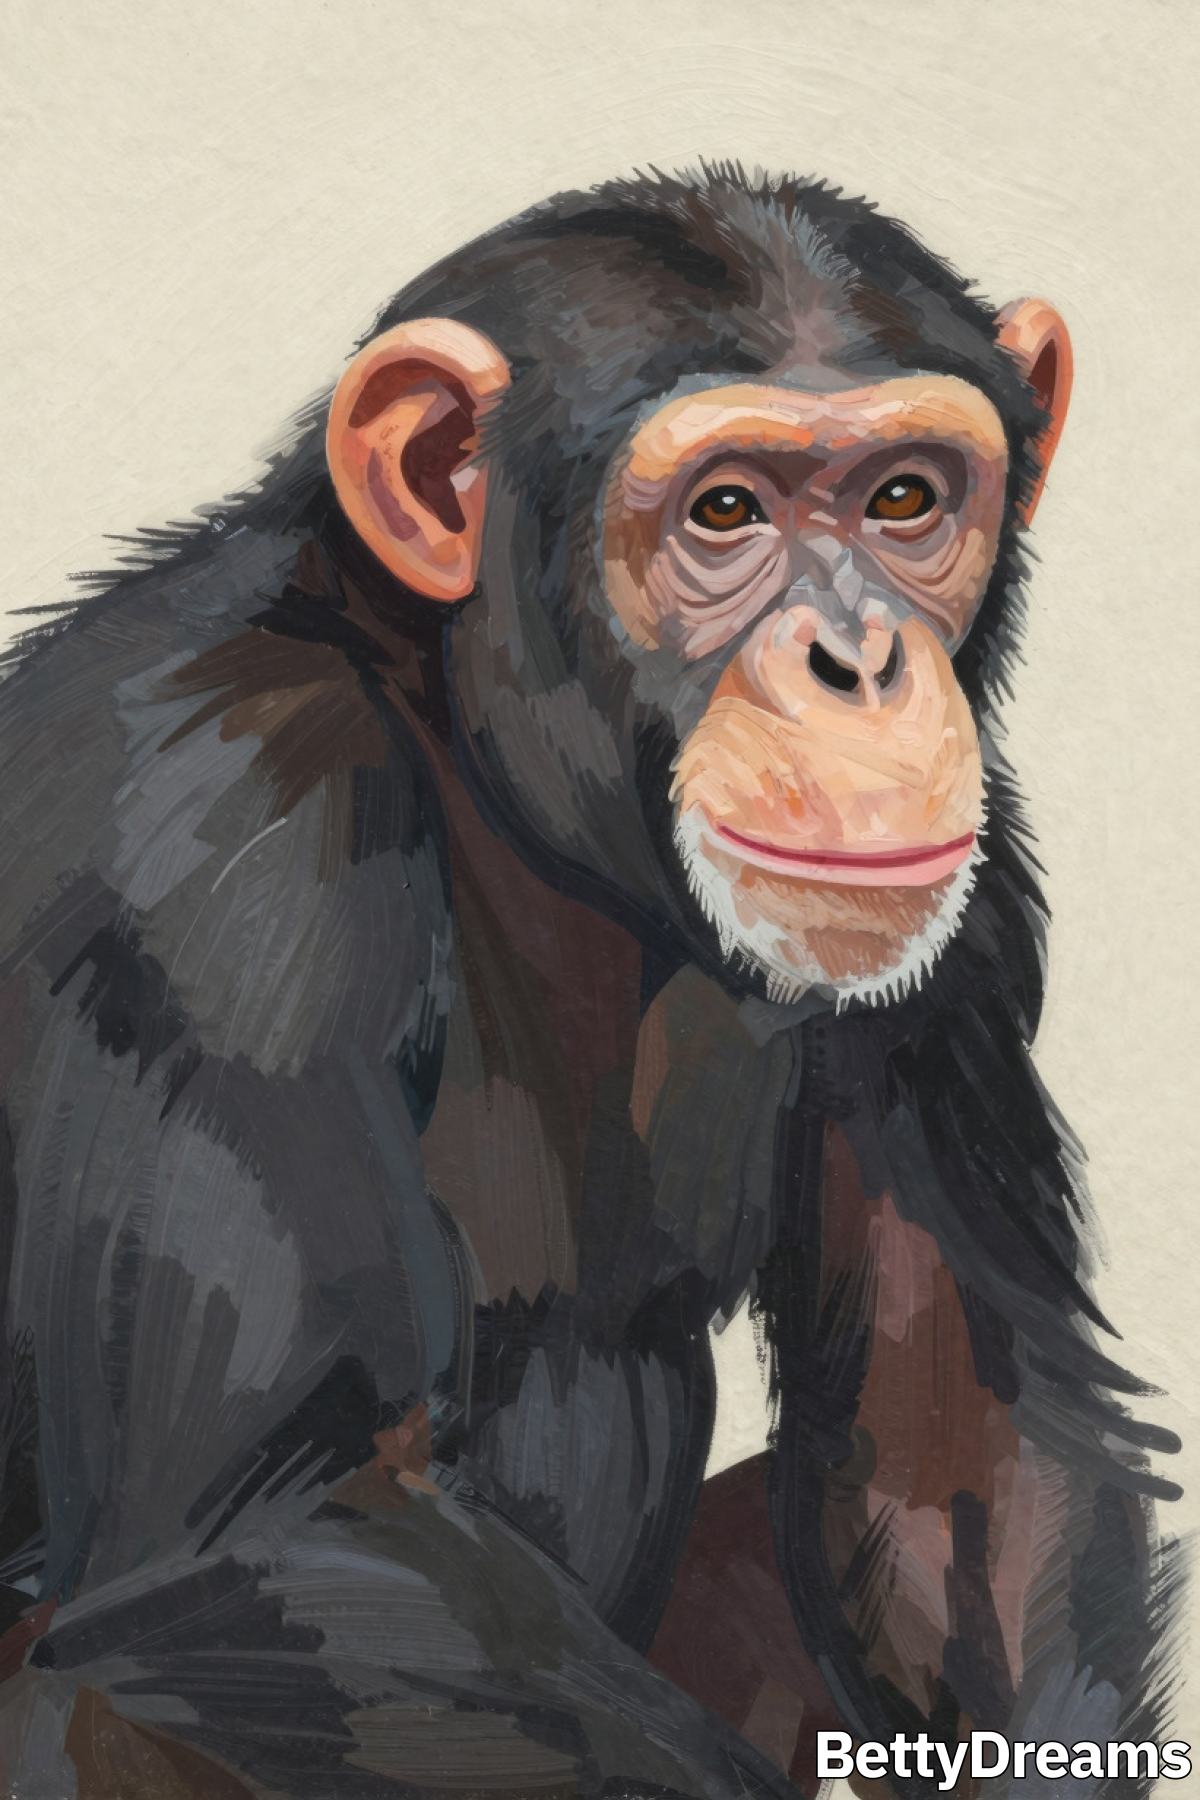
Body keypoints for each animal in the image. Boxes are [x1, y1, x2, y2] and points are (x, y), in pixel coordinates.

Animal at [0, 164, 1182, 1799]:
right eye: (726, 510)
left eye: (905, 500)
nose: (862, 661)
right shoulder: (217, 850)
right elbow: (272, 1521)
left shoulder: (972, 896)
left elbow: (959, 1439)